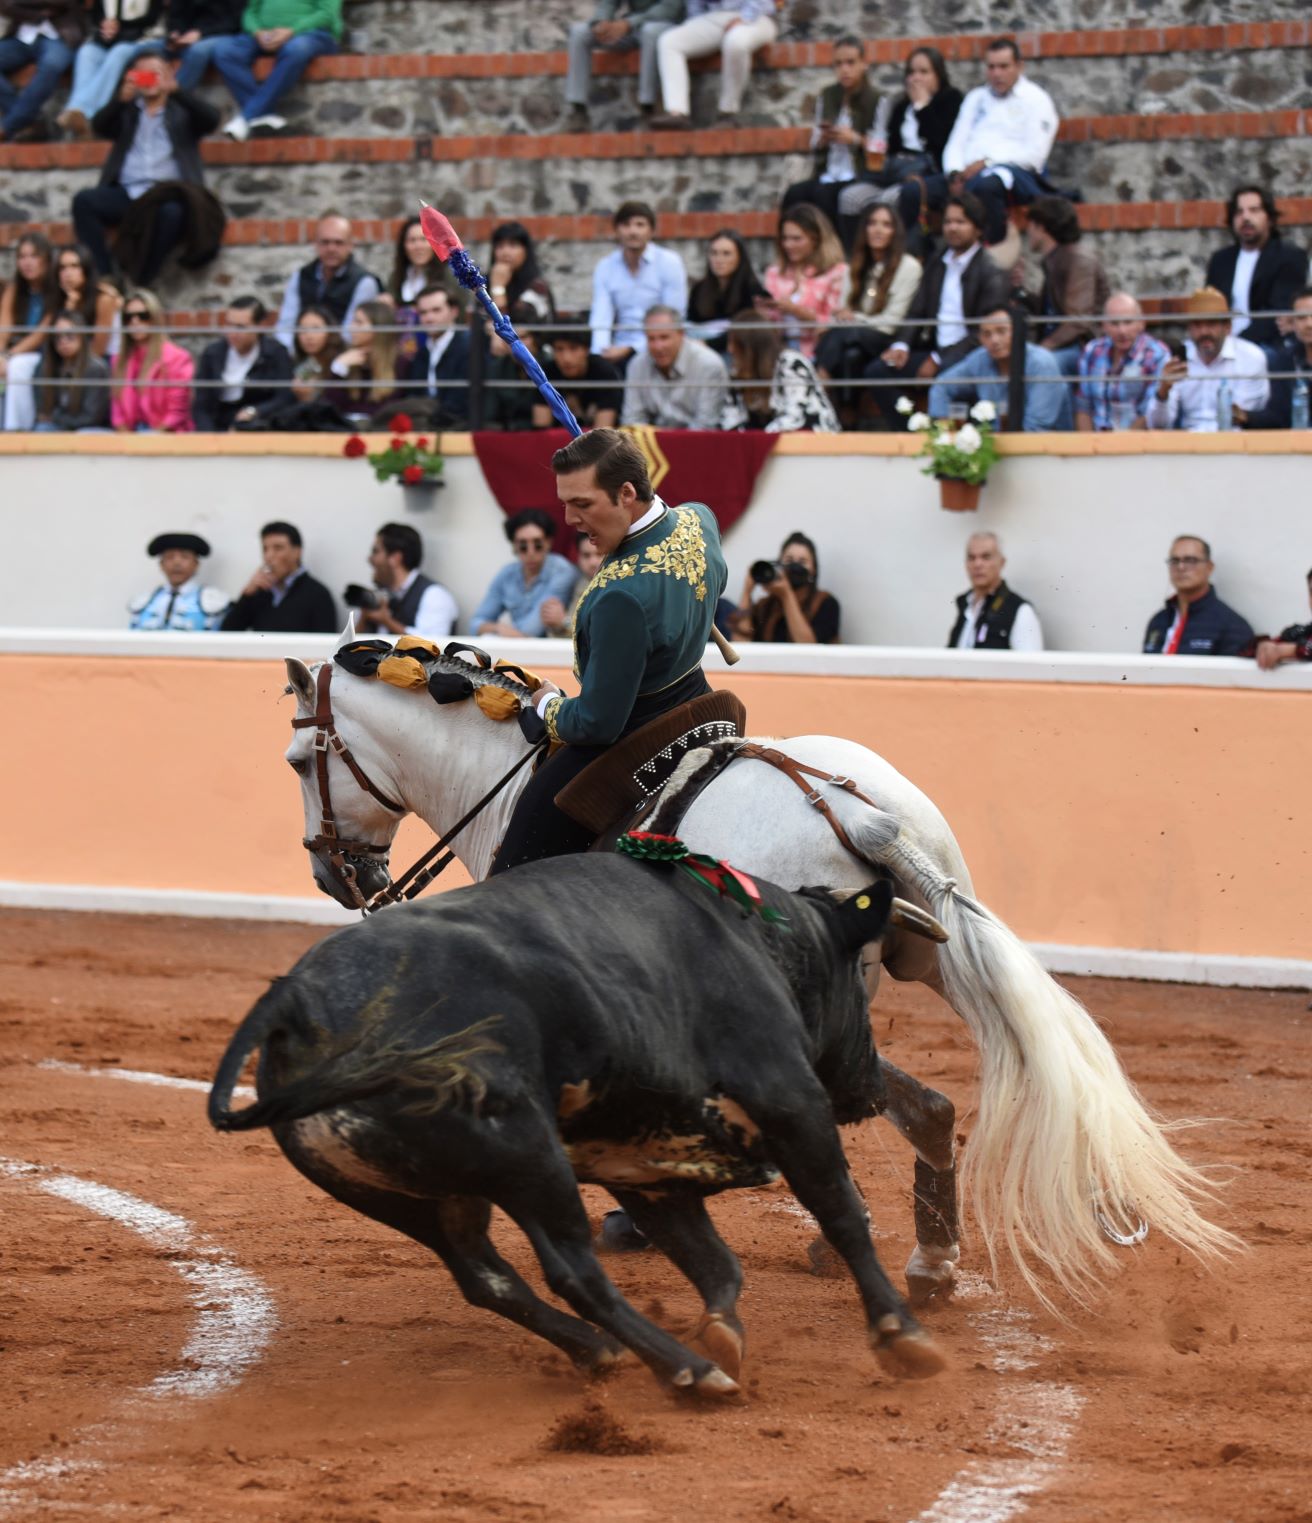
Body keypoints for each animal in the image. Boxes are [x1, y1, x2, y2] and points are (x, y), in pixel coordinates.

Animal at [208, 851, 947, 1395]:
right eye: (860, 977)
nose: (869, 1086)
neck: (754, 937)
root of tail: (300, 1006)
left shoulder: (645, 1168)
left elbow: (713, 1261)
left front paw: (724, 1334)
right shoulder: (788, 1097)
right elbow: (839, 1213)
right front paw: (901, 1336)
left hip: (407, 1194)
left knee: (487, 1277)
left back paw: (603, 1353)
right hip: (530, 1157)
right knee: (571, 1269)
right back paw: (688, 1372)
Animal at [279, 628, 1237, 1311]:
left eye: (298, 762)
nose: (335, 874)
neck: (502, 784)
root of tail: (863, 816)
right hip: (927, 957)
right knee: (927, 1108)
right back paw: (926, 1259)